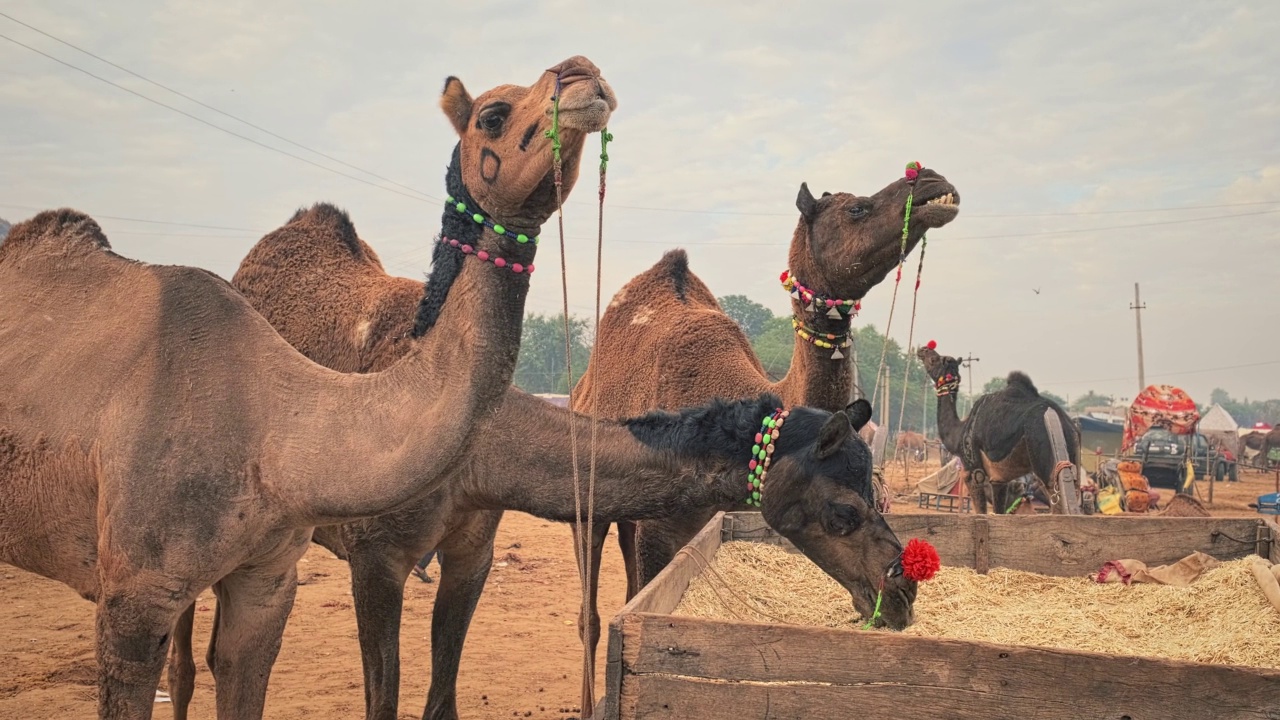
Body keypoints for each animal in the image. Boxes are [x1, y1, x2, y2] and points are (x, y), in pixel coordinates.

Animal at [0, 56, 614, 717]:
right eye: (493, 114)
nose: (583, 73)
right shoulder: (370, 556)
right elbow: (381, 696)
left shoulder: (470, 551)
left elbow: (441, 694)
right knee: (185, 661)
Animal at [916, 340, 1085, 509]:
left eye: (934, 359)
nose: (923, 350)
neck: (959, 432)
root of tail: (1069, 426)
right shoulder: (999, 480)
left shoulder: (972, 472)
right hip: (1071, 459)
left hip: (1045, 463)